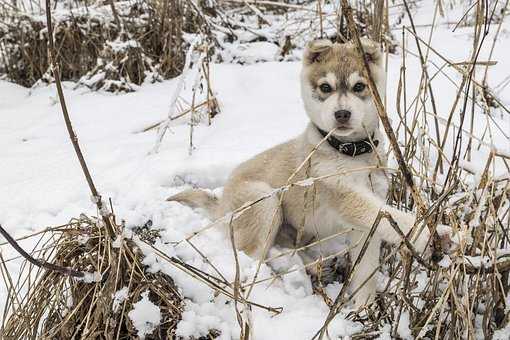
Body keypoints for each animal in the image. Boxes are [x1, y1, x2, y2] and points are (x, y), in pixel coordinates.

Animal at [168, 38, 430, 310]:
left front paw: (363, 306)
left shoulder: (366, 221)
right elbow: (390, 216)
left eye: (359, 86)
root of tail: (220, 204)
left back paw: (310, 265)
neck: (351, 153)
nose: (342, 114)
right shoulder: (344, 194)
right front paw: (430, 234)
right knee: (252, 256)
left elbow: (366, 265)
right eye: (325, 87)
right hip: (265, 202)